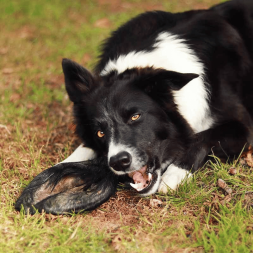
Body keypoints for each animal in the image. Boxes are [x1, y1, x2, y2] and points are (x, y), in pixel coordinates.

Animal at [16, 0, 253, 213]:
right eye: (100, 132)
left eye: (135, 116)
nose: (119, 162)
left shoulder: (243, 126)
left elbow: (200, 138)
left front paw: (174, 173)